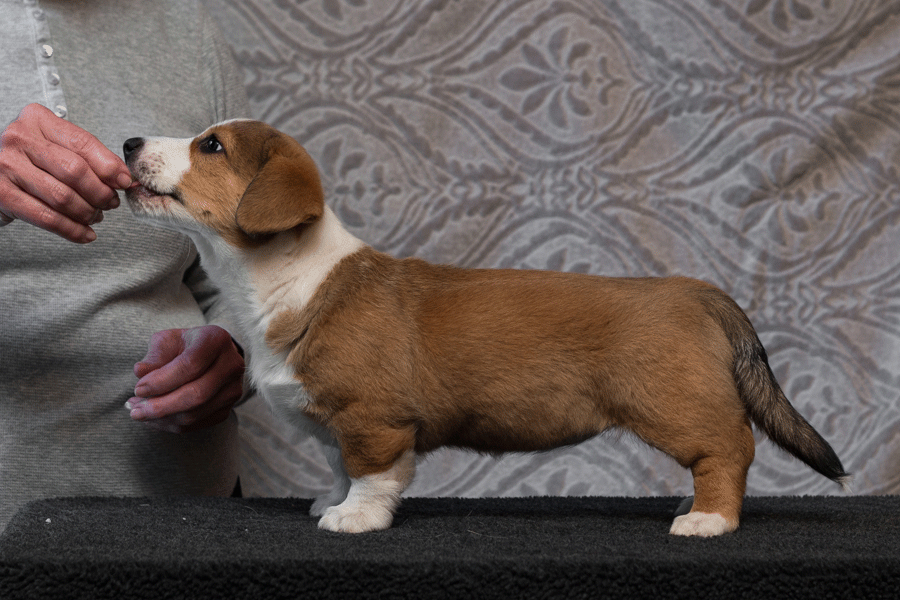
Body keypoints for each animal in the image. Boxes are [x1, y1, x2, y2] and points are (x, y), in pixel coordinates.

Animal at [123, 119, 849, 537]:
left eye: (211, 145)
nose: (128, 143)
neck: (282, 279)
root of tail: (696, 291)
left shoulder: (371, 418)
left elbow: (370, 473)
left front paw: (354, 518)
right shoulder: (333, 422)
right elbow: (336, 464)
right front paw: (329, 501)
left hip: (674, 405)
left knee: (729, 450)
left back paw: (706, 519)